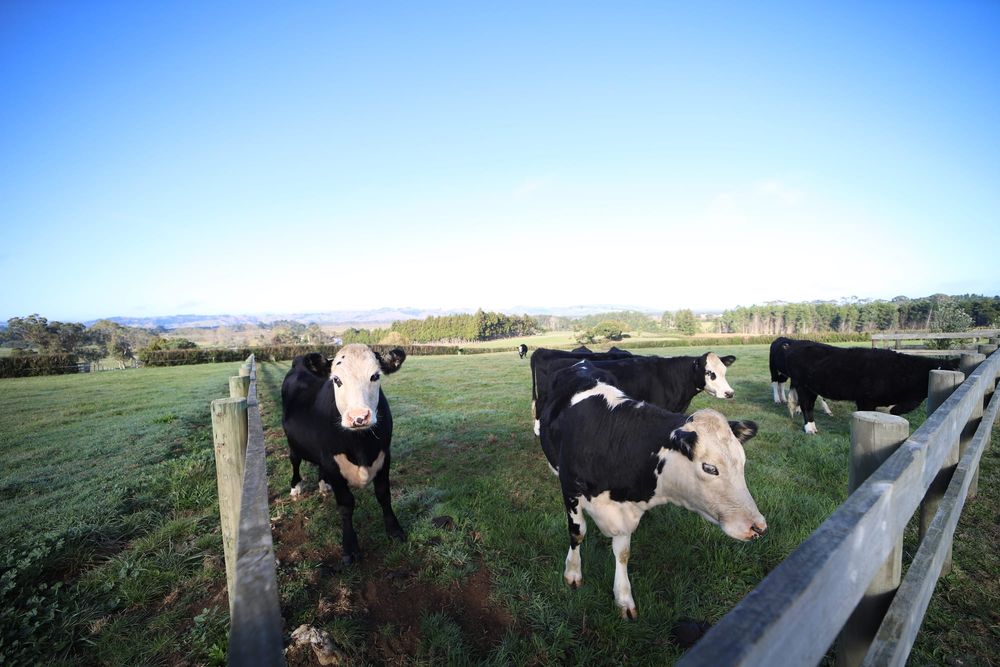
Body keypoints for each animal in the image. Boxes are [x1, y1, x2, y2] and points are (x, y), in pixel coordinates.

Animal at [281, 345, 407, 564]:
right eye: (337, 380)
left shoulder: (384, 456)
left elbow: (384, 494)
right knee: (295, 461)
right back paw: (296, 487)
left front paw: (394, 530)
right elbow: (346, 505)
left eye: (375, 376)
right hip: (293, 442)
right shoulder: (332, 463)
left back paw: (324, 485)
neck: (361, 446)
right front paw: (349, 547)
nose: (359, 417)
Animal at [542, 360, 766, 618]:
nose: (758, 527)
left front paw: (623, 598)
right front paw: (572, 573)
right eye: (710, 468)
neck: (612, 438)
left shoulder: (625, 509)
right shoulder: (570, 489)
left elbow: (623, 553)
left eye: (742, 461)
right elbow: (577, 533)